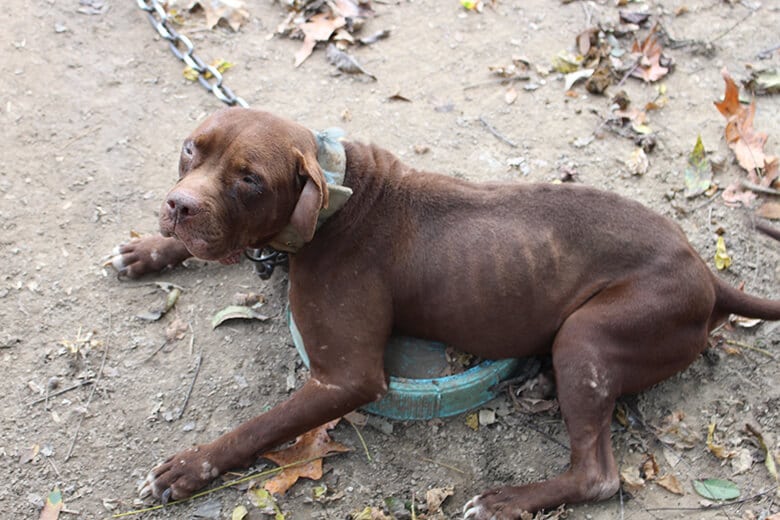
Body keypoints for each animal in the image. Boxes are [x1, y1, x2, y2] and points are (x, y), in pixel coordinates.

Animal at [111, 107, 780, 516]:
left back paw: (506, 499)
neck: (334, 196)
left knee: (598, 473)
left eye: (249, 179)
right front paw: (148, 250)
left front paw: (187, 468)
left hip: (589, 334)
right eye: (190, 149)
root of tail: (705, 272)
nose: (179, 206)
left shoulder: (346, 377)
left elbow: (258, 426)